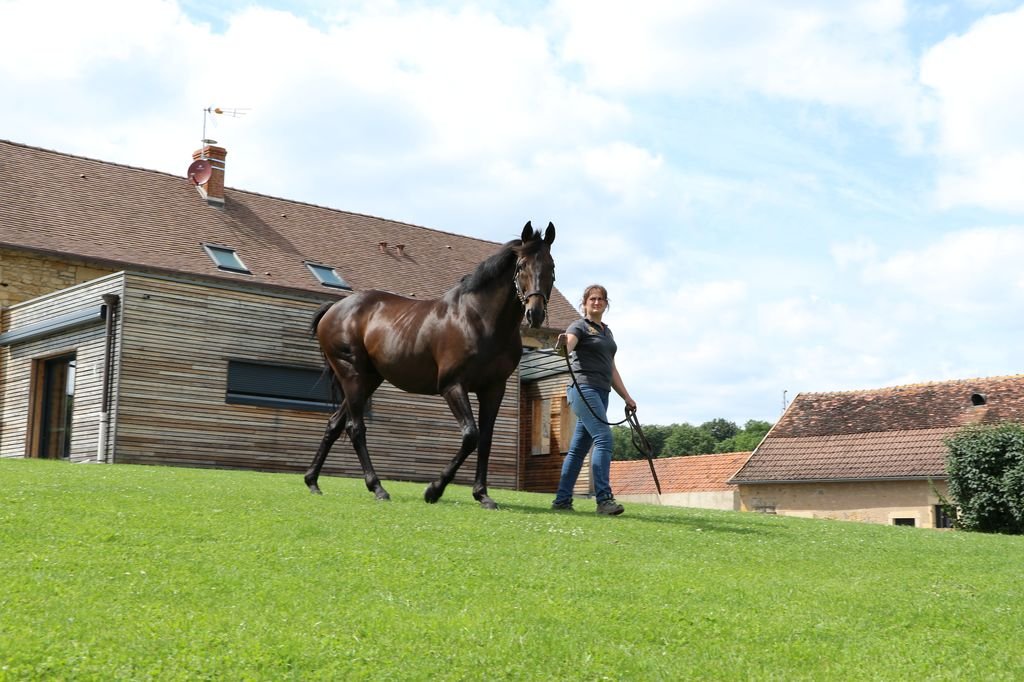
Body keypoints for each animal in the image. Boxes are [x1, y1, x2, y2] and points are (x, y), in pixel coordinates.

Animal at [304, 221, 556, 509]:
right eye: (522, 265)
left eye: (551, 267)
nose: (535, 313)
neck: (478, 319)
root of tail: (334, 308)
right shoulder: (452, 386)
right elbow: (471, 435)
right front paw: (434, 490)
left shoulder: (494, 389)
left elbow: (485, 438)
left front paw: (482, 494)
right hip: (352, 375)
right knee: (355, 428)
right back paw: (378, 488)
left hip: (368, 380)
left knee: (334, 424)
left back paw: (312, 481)